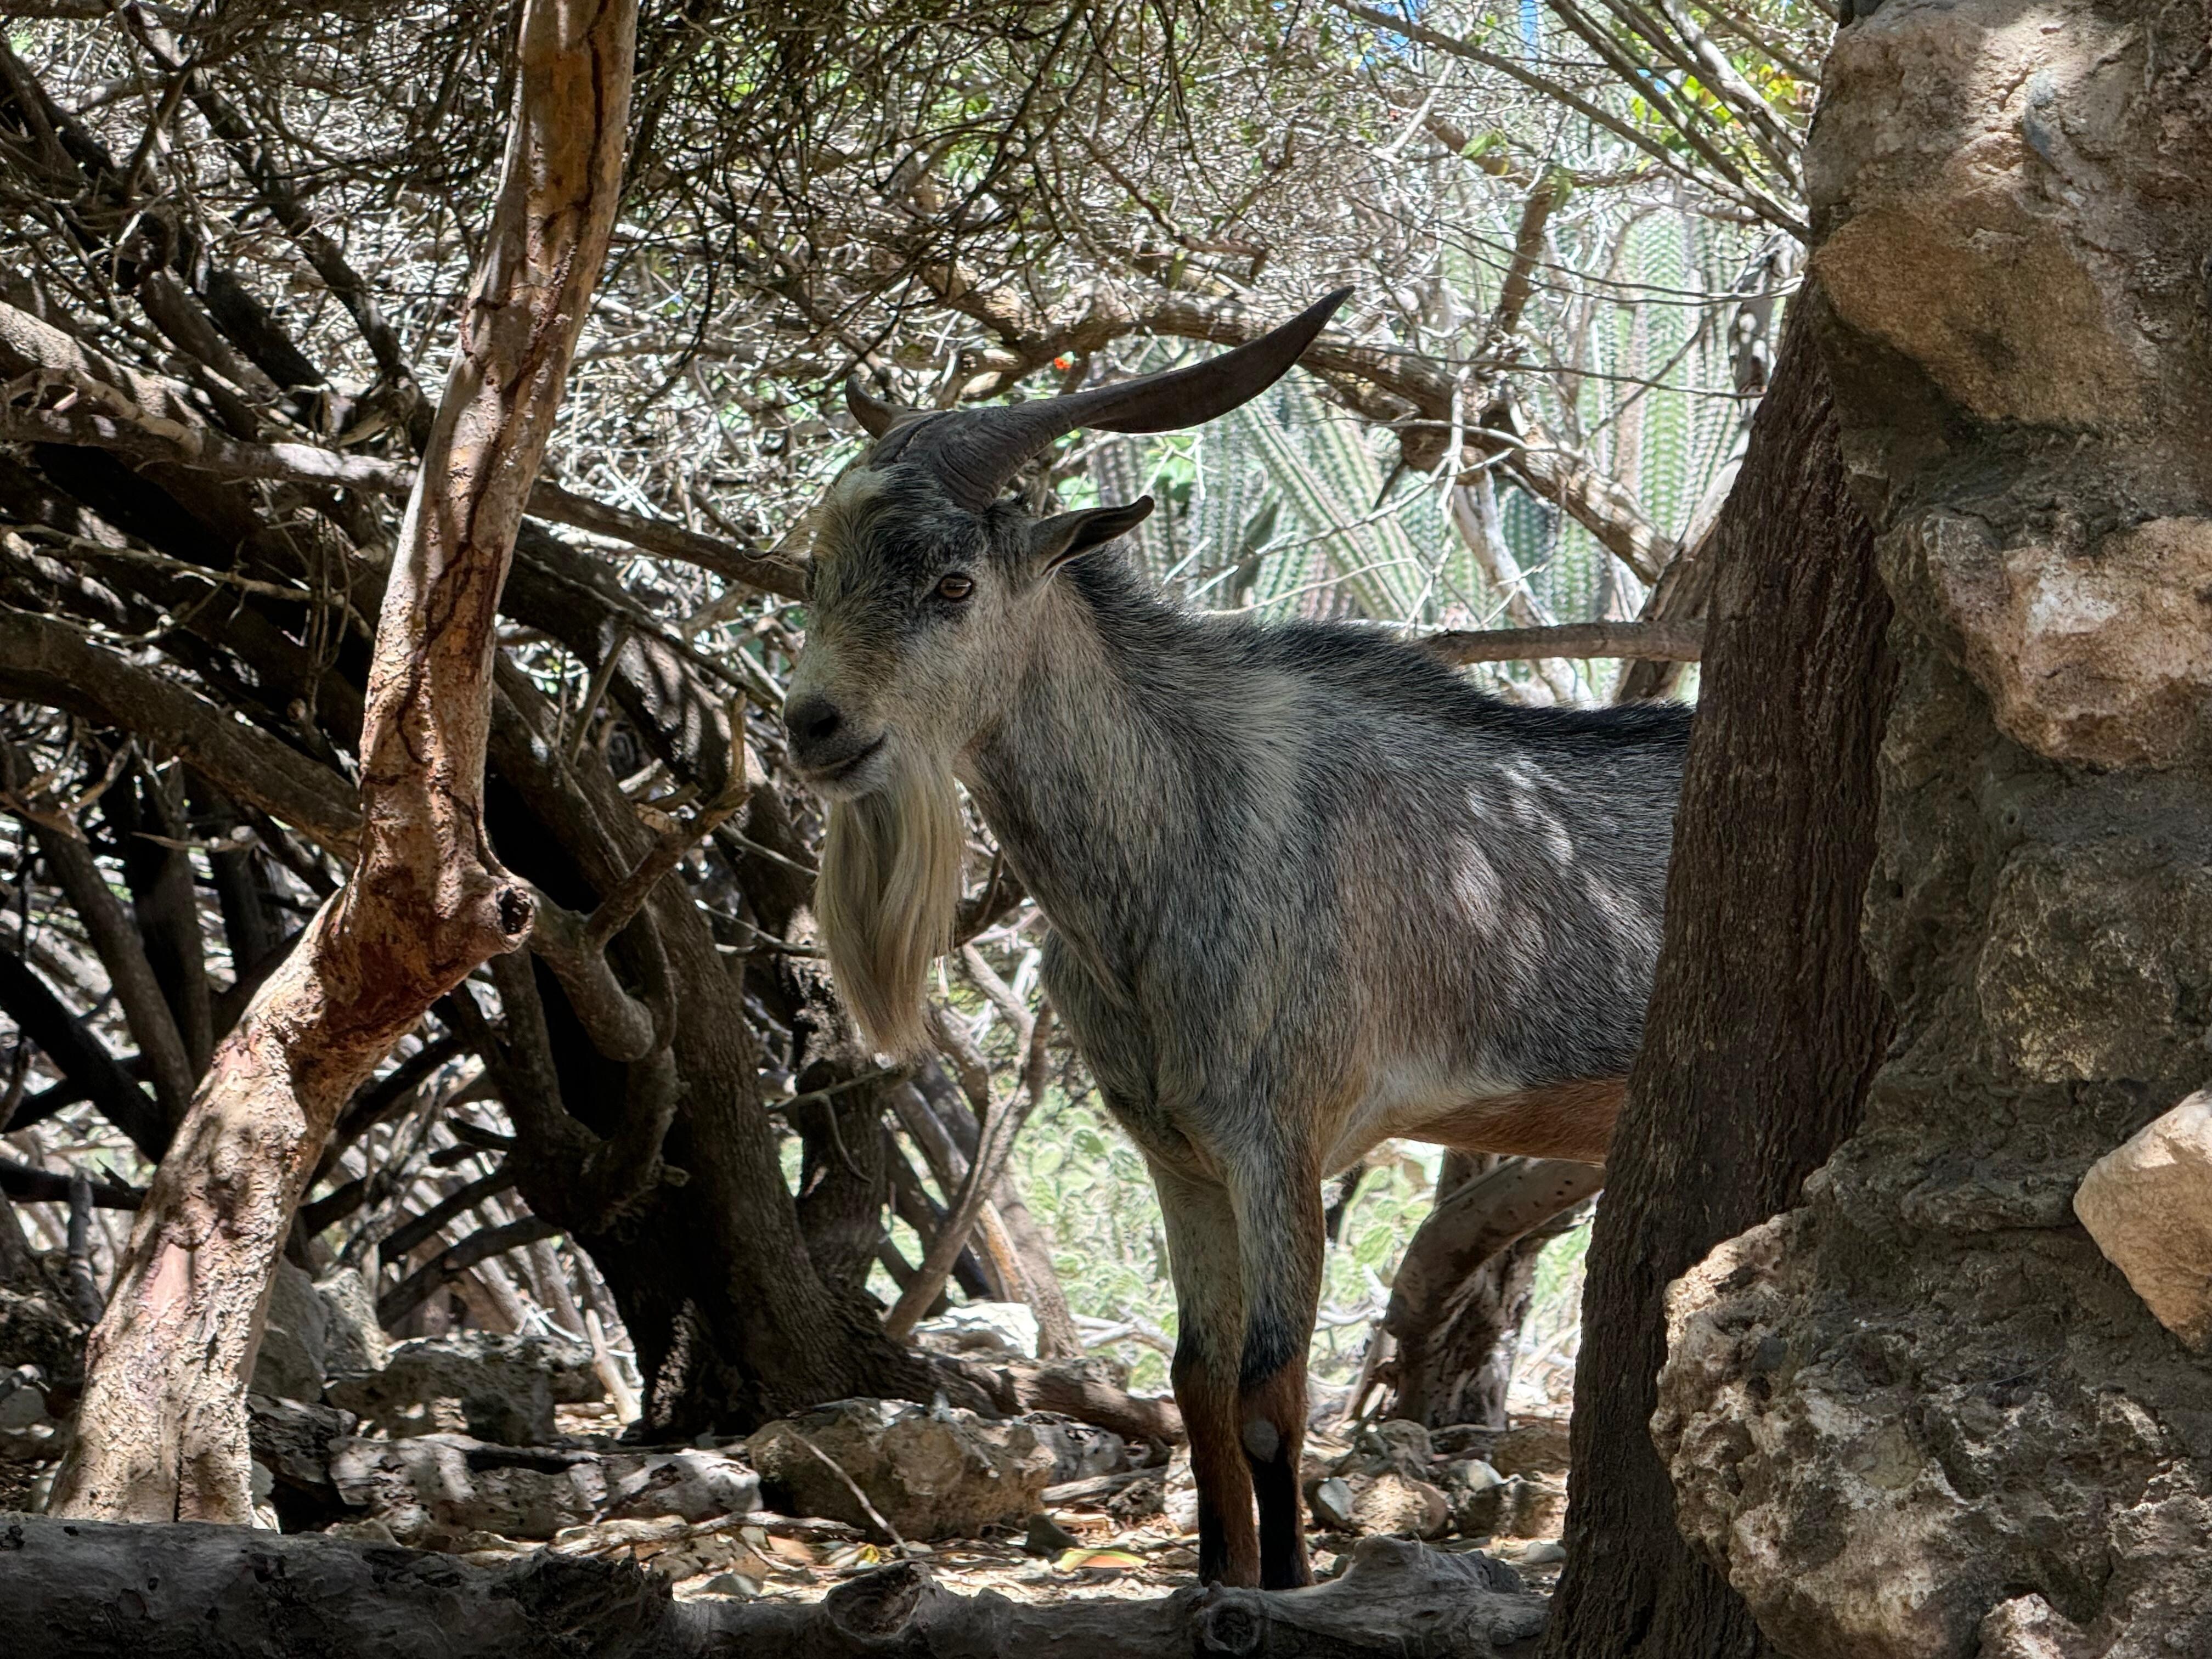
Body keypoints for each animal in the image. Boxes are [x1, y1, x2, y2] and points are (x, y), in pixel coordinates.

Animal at [784, 291, 1689, 1590]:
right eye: (815, 571)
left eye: (953, 584)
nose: (813, 727)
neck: (1173, 837)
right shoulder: (1181, 1158)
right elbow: (1196, 1382)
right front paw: (1217, 1578)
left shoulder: (1284, 1139)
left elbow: (1269, 1394)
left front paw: (1290, 1589)